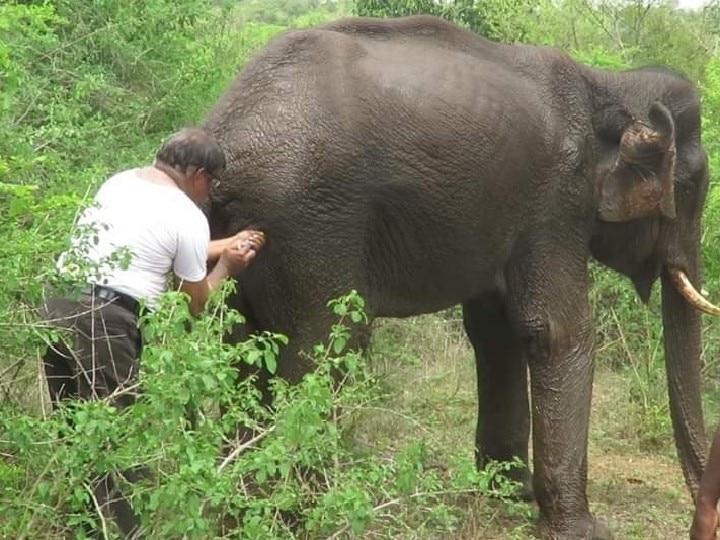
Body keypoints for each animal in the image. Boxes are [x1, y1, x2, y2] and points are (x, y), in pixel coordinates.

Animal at [202, 14, 720, 540]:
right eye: (690, 187)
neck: (610, 84)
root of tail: (224, 135)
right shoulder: (557, 201)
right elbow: (558, 330)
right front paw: (583, 531)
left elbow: (497, 332)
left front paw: (507, 492)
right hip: (311, 224)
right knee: (327, 343)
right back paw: (298, 518)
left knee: (241, 346)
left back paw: (238, 514)